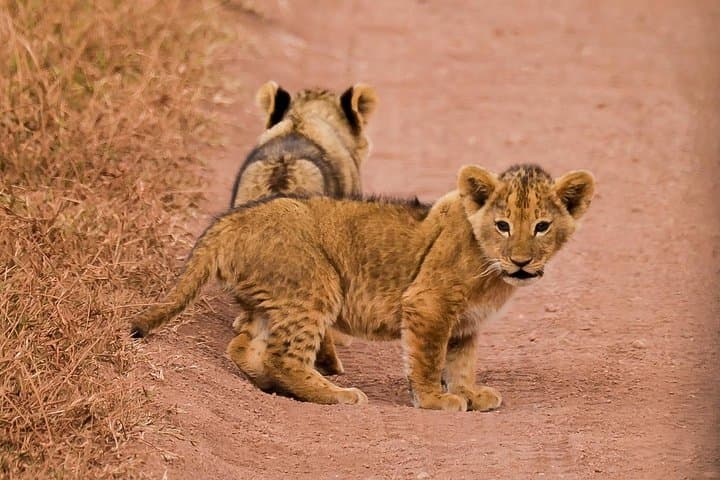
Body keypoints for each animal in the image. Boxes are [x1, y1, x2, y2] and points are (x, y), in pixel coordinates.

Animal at [131, 164, 595, 411]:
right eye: (503, 225)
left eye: (542, 227)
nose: (521, 261)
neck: (492, 270)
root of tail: (231, 220)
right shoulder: (428, 304)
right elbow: (429, 359)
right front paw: (435, 400)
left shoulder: (465, 322)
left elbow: (461, 362)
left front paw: (469, 392)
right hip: (315, 286)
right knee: (284, 356)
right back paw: (336, 395)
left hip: (273, 299)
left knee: (243, 345)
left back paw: (270, 384)